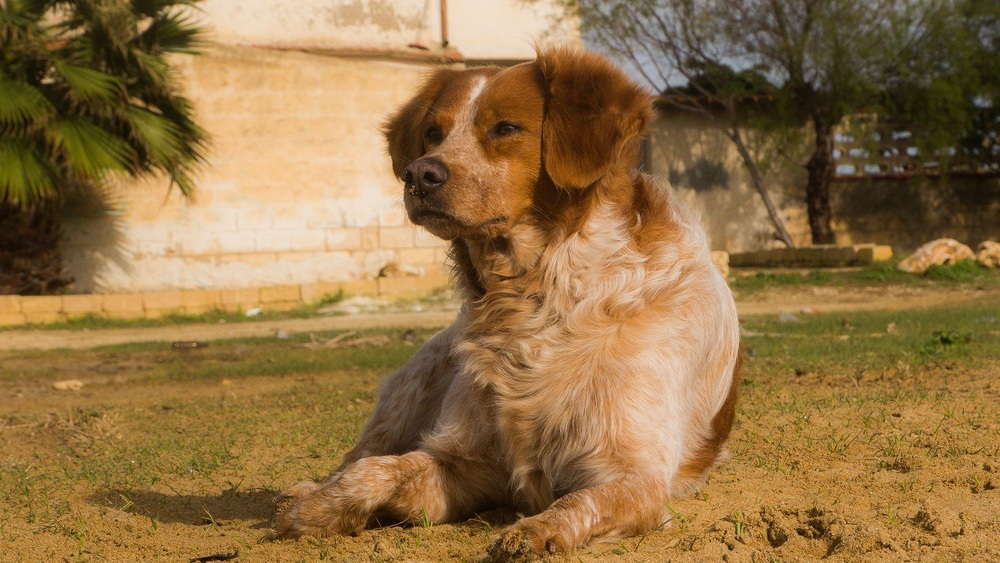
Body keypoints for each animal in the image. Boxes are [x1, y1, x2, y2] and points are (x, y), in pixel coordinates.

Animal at [274, 48, 744, 560]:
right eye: (433, 133)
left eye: (505, 128)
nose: (419, 174)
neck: (534, 300)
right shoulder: (465, 463)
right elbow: (376, 469)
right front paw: (319, 509)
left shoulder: (635, 477)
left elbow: (578, 501)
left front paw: (535, 531)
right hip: (411, 387)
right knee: (360, 454)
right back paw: (303, 490)